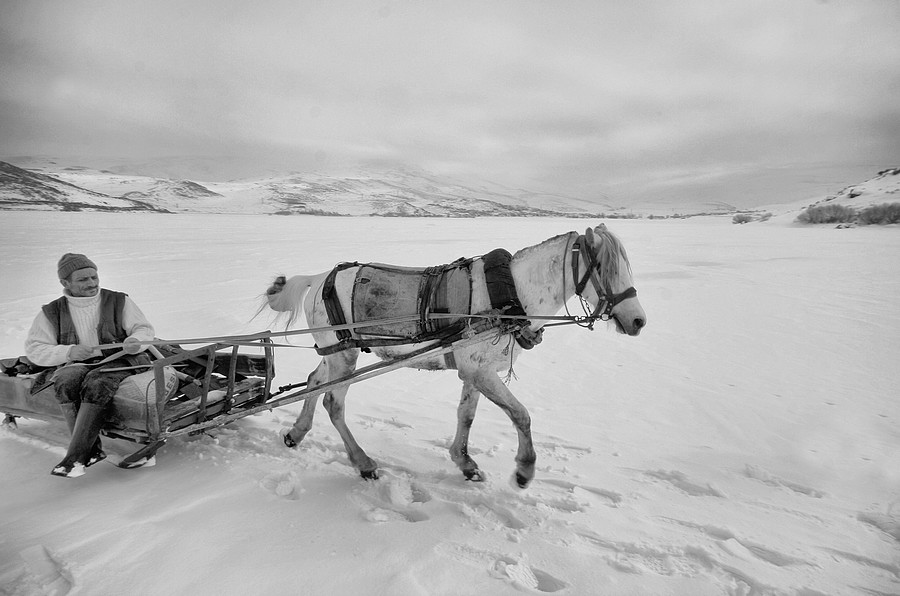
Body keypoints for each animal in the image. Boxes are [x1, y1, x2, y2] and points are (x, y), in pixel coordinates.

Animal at [264, 224, 644, 488]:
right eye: (604, 267)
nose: (639, 321)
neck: (512, 295)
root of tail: (317, 278)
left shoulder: (475, 371)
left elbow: (467, 415)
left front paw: (465, 463)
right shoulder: (480, 372)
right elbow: (521, 415)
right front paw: (524, 469)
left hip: (336, 351)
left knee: (314, 383)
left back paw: (296, 432)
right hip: (344, 356)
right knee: (333, 402)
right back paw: (363, 463)